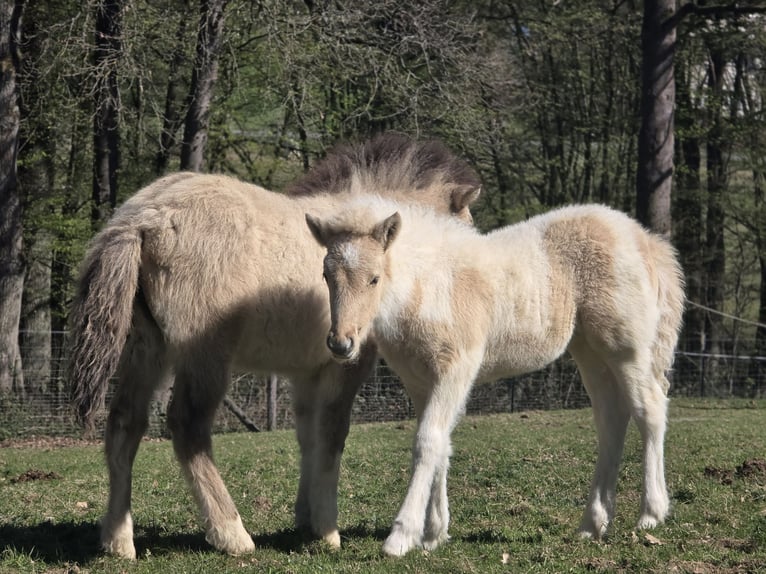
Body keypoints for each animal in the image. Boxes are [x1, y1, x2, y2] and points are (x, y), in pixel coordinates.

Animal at [67, 133, 481, 559]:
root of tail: (143, 216)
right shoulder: (346, 364)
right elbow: (332, 435)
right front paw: (327, 531)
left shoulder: (307, 372)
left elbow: (308, 437)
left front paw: (306, 519)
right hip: (205, 356)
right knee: (187, 425)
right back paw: (232, 533)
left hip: (148, 349)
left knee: (125, 423)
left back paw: (118, 540)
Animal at [306, 198, 685, 556]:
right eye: (326, 276)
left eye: (374, 278)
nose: (340, 344)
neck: (432, 286)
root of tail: (643, 238)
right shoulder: (420, 382)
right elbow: (440, 443)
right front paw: (434, 534)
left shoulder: (456, 369)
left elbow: (428, 441)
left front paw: (402, 536)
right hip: (589, 351)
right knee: (611, 420)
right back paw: (593, 524)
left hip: (626, 348)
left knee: (650, 410)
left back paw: (651, 513)